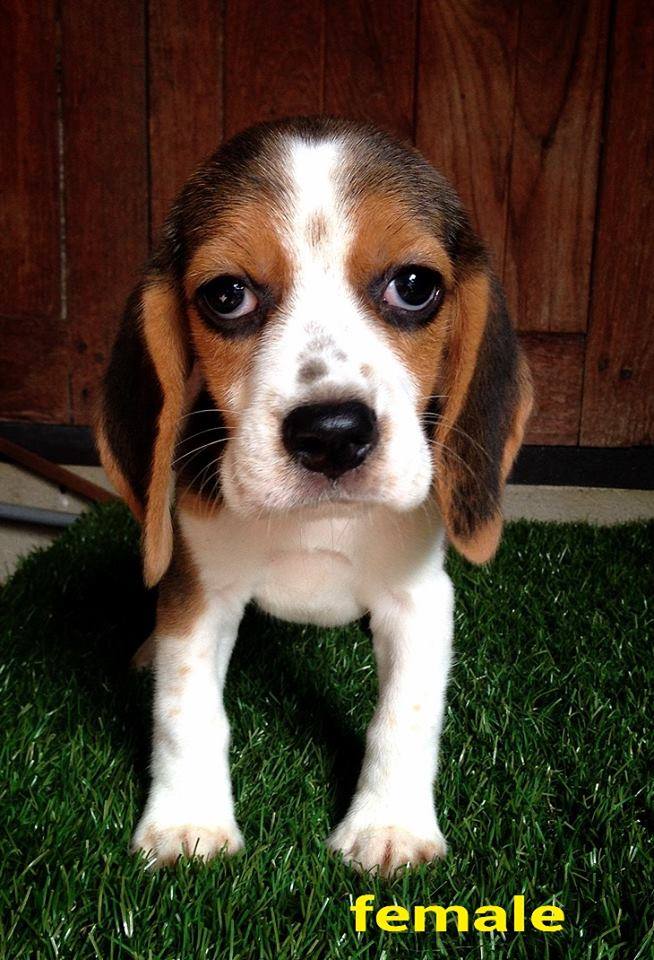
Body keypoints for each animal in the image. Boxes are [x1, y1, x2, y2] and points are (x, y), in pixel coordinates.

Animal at [97, 117, 533, 875]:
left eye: (414, 286)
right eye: (226, 295)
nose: (332, 434)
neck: (317, 524)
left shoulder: (418, 600)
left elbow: (402, 716)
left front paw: (389, 828)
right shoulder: (198, 591)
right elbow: (187, 712)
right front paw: (187, 823)